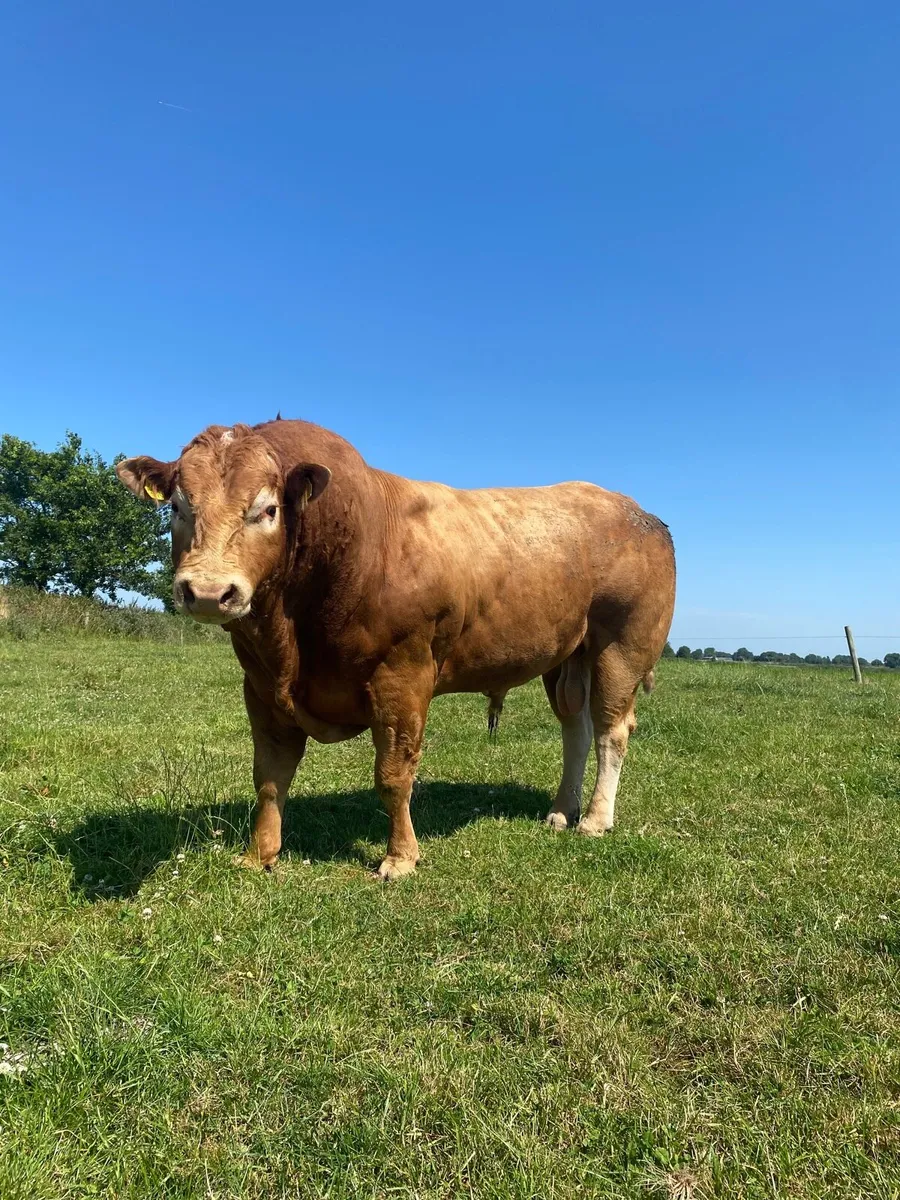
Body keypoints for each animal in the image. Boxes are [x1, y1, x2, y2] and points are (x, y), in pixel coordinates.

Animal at [116, 418, 675, 880]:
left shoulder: (401, 676)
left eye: (267, 509)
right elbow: (270, 776)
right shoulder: (261, 686)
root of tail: (638, 511)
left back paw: (596, 819)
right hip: (566, 657)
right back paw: (561, 810)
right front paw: (260, 855)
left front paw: (400, 858)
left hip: (622, 646)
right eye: (177, 507)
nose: (209, 592)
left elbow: (393, 775)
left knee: (611, 730)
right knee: (575, 731)